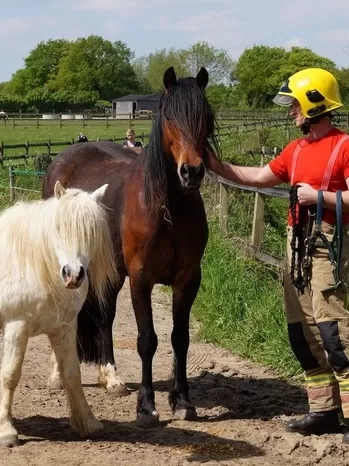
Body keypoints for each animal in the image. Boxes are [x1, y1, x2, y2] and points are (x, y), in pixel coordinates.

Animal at [0, 180, 117, 446]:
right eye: (59, 228)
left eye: (91, 232)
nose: (73, 275)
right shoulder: (16, 326)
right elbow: (10, 375)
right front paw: (6, 430)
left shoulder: (64, 328)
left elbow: (72, 374)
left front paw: (88, 423)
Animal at [41, 65, 220, 426]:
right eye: (170, 118)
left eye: (205, 117)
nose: (191, 171)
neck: (167, 208)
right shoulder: (141, 279)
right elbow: (147, 340)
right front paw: (147, 406)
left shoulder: (187, 280)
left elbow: (180, 338)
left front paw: (183, 401)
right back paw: (57, 376)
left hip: (110, 272)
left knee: (105, 316)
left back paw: (111, 378)